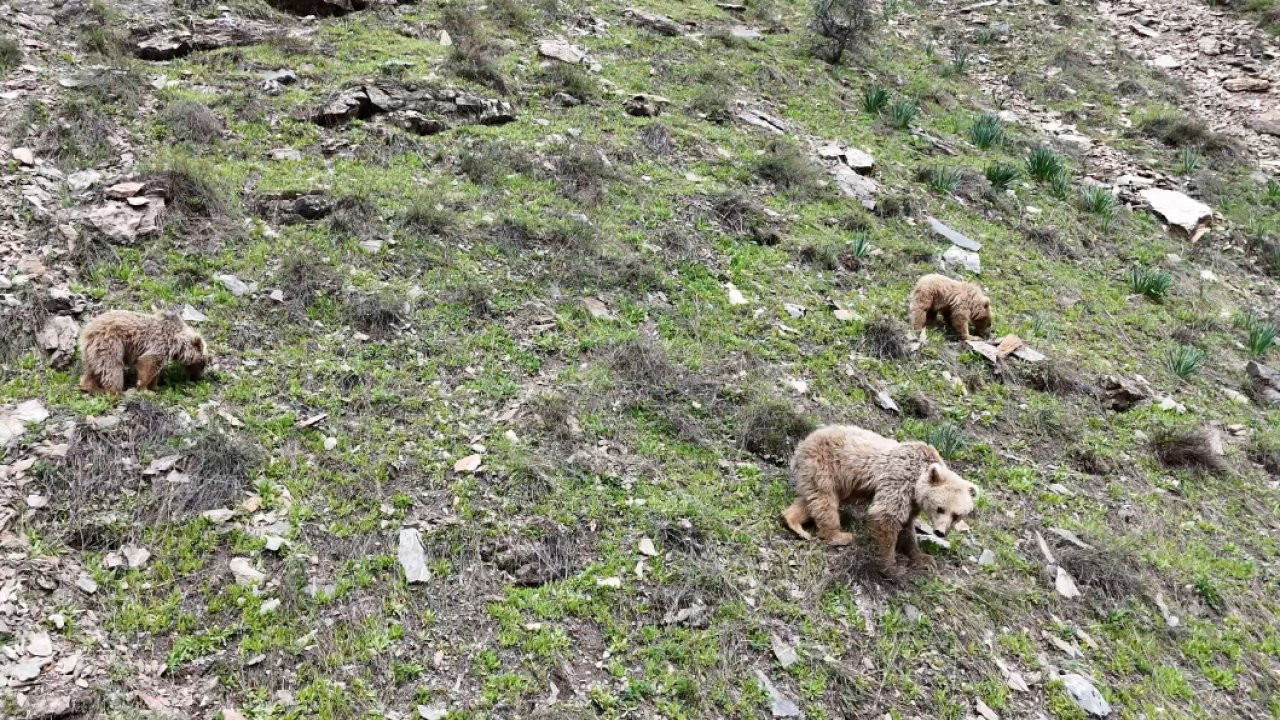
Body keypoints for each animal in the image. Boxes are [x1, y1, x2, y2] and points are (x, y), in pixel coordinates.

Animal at [77, 308, 207, 392]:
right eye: (203, 363)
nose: (198, 378)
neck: (176, 342)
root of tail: (86, 332)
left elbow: (156, 370)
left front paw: (155, 386)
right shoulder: (160, 344)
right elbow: (148, 363)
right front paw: (144, 388)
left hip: (93, 353)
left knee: (94, 369)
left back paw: (91, 386)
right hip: (109, 344)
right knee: (111, 368)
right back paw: (117, 391)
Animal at [778, 422, 977, 573]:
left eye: (956, 515)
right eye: (940, 508)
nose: (940, 532)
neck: (918, 479)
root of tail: (804, 441)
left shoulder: (912, 502)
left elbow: (907, 527)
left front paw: (924, 558)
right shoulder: (900, 479)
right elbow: (886, 516)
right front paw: (892, 565)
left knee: (811, 500)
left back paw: (795, 523)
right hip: (825, 467)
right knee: (825, 502)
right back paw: (839, 535)